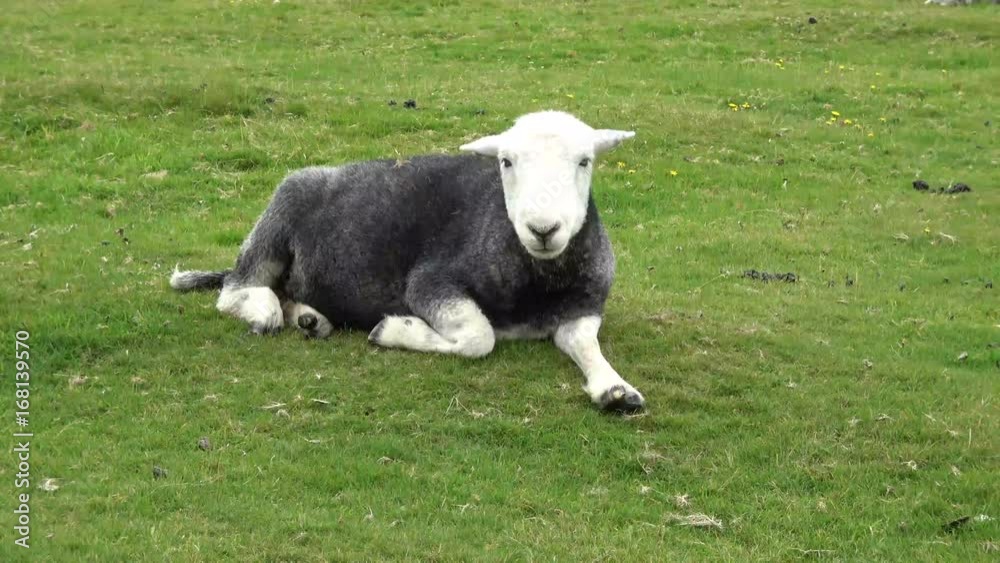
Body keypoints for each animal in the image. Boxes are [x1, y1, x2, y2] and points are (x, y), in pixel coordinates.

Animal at [171, 111, 645, 412]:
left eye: (584, 161)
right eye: (505, 162)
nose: (543, 229)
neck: (538, 280)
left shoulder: (585, 307)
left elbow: (584, 343)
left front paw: (615, 389)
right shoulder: (430, 281)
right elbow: (479, 336)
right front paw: (396, 330)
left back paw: (309, 318)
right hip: (278, 217)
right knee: (237, 287)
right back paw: (264, 309)